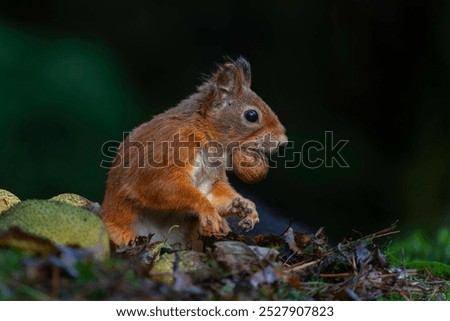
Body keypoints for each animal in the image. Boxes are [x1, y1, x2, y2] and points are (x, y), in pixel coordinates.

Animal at [102, 57, 286, 248]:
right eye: (251, 115)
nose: (283, 142)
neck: (206, 138)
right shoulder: (166, 152)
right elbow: (160, 185)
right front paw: (206, 209)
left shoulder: (211, 177)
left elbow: (214, 194)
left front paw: (246, 206)